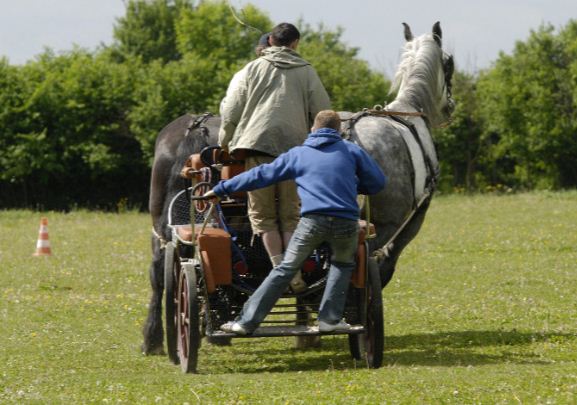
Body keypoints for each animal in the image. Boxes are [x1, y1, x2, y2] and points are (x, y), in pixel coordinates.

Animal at [141, 23, 454, 356]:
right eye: (449, 64)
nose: (450, 108)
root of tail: (195, 127)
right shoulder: (409, 221)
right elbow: (381, 268)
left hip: (161, 224)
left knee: (160, 270)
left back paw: (156, 338)